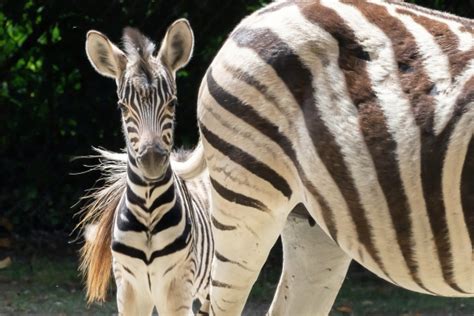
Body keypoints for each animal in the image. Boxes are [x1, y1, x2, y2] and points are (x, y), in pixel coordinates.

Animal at [79, 20, 213, 316]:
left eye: (172, 103)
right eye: (122, 106)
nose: (151, 162)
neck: (149, 211)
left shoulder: (176, 288)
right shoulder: (130, 290)